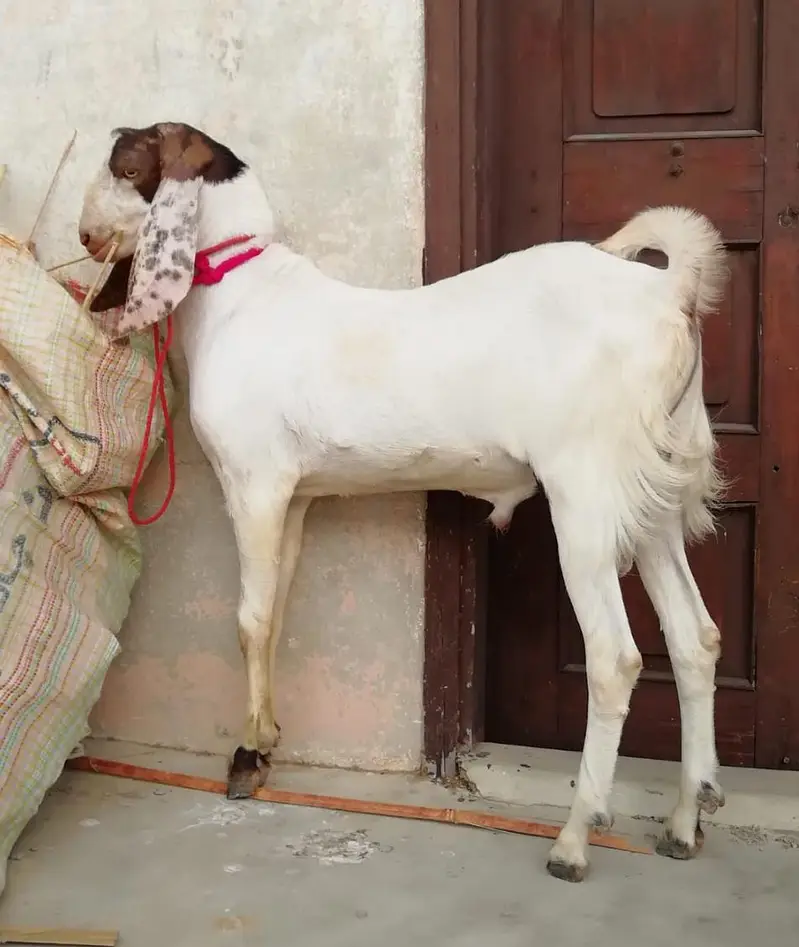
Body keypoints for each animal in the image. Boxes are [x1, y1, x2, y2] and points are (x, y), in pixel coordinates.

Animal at [78, 122, 728, 882]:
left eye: (128, 167)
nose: (85, 234)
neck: (243, 297)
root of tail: (671, 291)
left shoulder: (254, 481)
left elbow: (248, 618)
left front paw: (244, 755)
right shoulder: (295, 498)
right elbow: (275, 614)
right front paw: (266, 741)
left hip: (586, 489)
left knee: (616, 657)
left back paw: (574, 838)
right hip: (653, 493)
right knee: (693, 637)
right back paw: (684, 821)